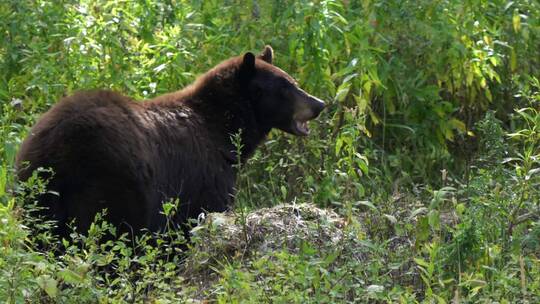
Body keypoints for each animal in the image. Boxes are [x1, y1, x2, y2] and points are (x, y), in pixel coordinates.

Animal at [17, 45, 324, 241]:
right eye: (286, 87)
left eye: (293, 81)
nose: (319, 104)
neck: (221, 129)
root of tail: (56, 148)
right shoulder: (203, 178)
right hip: (114, 185)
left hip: (37, 194)